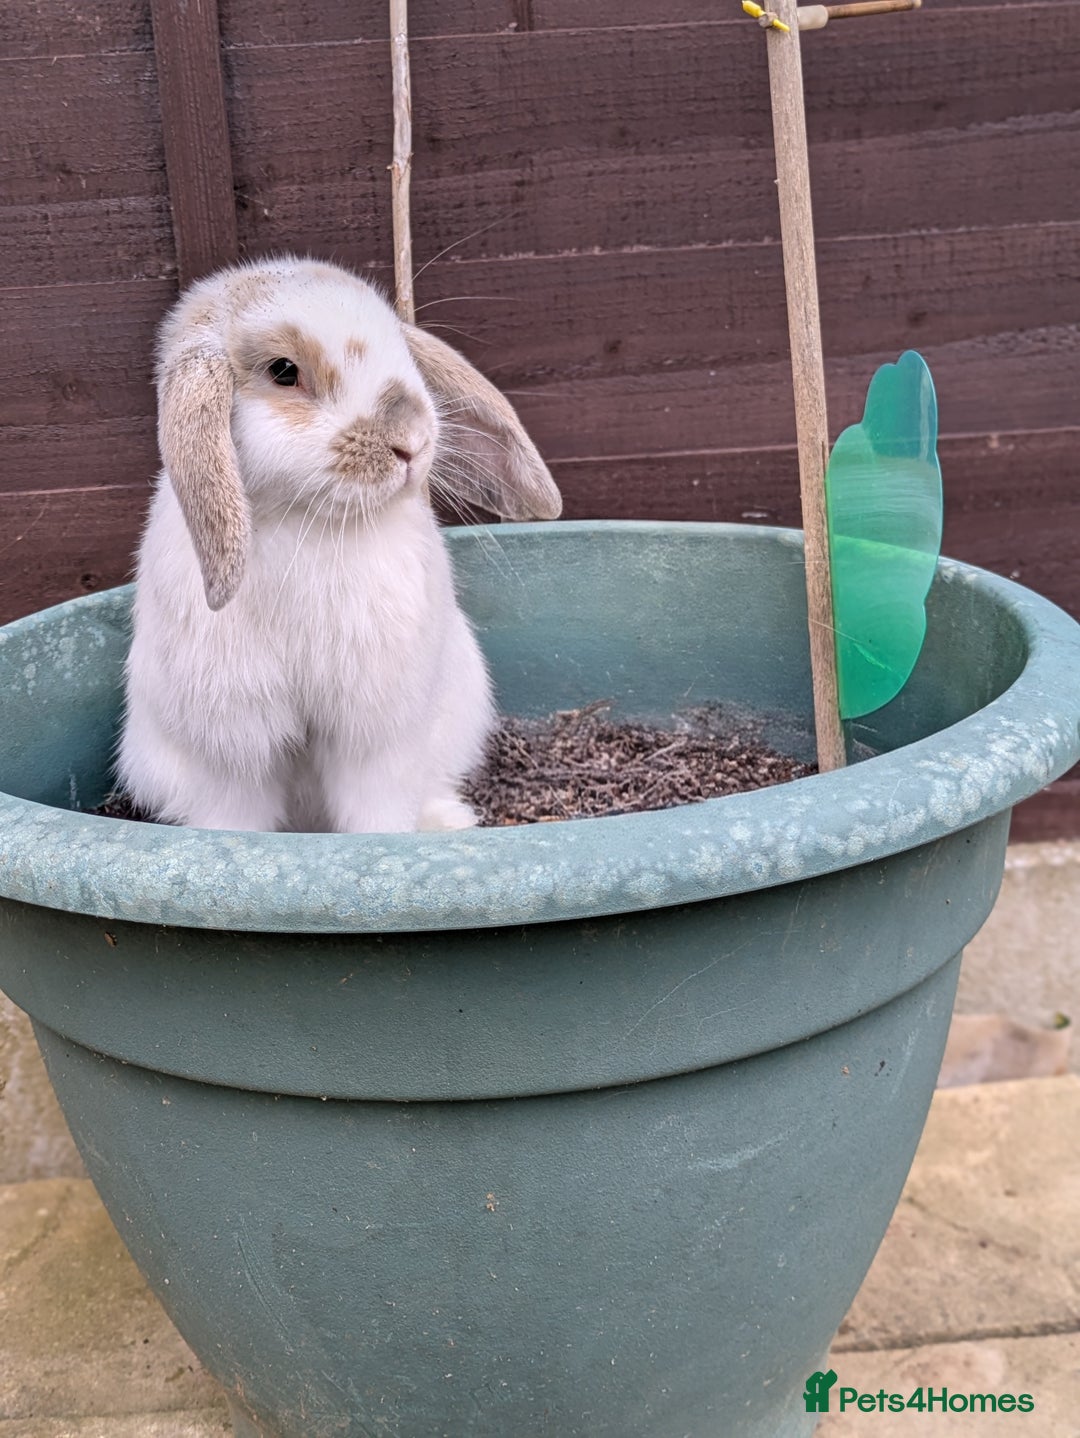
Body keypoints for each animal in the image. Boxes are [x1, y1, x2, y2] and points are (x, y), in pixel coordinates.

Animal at [117, 255, 562, 834]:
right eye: (284, 371)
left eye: (399, 343)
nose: (411, 441)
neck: (308, 519)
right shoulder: (233, 747)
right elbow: (235, 820)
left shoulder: (376, 729)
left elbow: (376, 807)